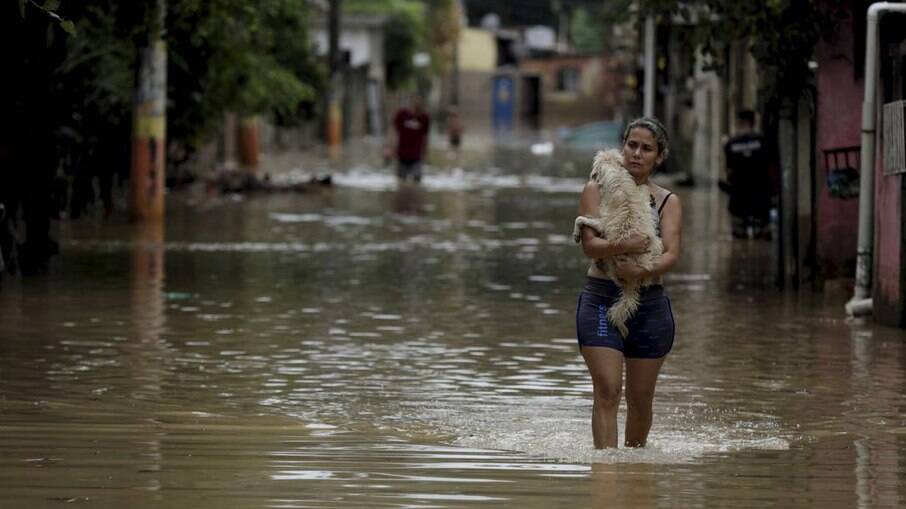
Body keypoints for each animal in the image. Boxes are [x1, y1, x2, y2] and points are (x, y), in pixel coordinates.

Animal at [572, 149, 664, 336]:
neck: (618, 177)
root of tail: (633, 283)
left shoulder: (603, 223)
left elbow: (581, 218)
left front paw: (576, 233)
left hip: (614, 259)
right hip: (657, 244)